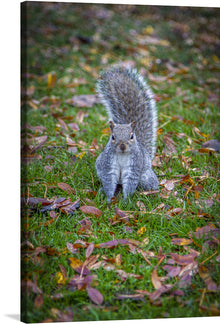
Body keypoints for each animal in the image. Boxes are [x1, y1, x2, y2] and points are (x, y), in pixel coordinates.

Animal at [95, 67, 159, 200]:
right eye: (113, 137)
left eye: (131, 136)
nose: (122, 146)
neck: (122, 155)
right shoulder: (108, 165)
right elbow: (109, 181)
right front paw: (109, 198)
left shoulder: (134, 166)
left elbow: (130, 181)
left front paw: (126, 200)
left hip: (145, 176)